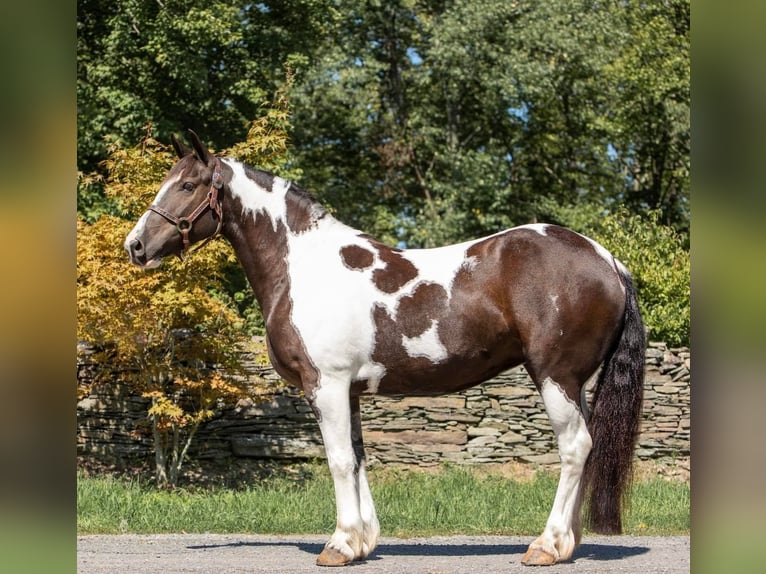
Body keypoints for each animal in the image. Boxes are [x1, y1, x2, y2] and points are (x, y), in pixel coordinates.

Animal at [123, 130, 644, 568]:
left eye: (188, 185)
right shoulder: (348, 390)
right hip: (575, 383)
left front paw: (338, 545)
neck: (304, 267)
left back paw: (546, 545)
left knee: (575, 447)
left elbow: (337, 460)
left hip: (556, 376)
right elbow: (356, 457)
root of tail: (609, 260)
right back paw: (568, 543)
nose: (136, 246)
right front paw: (361, 541)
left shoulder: (327, 385)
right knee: (587, 448)